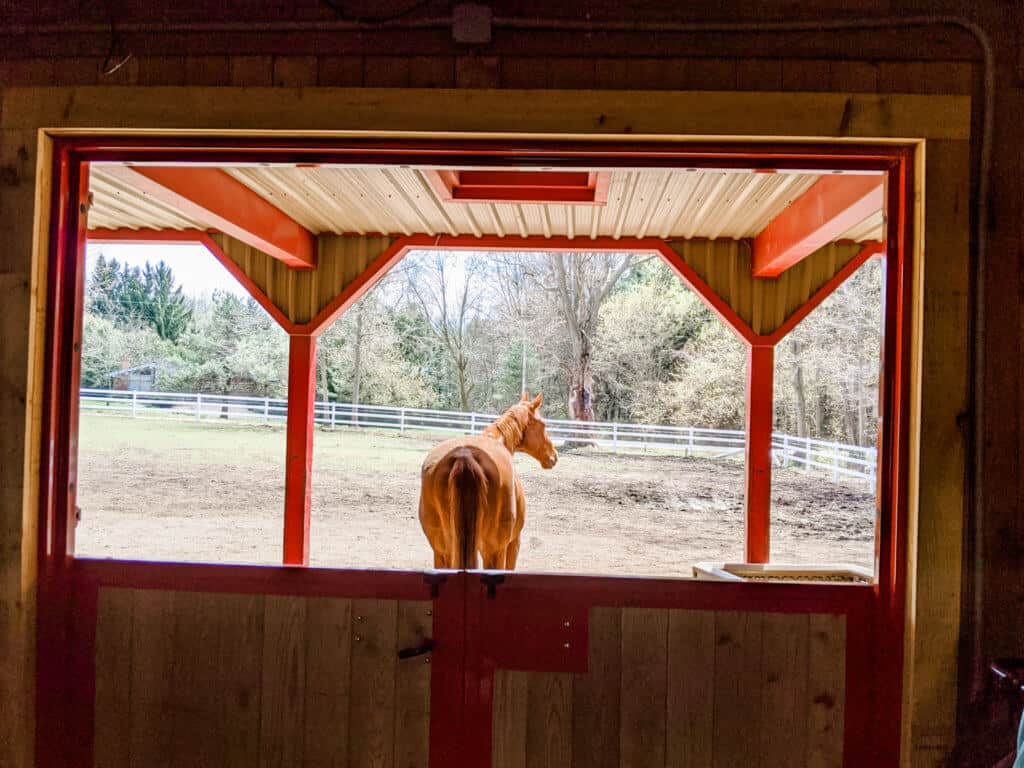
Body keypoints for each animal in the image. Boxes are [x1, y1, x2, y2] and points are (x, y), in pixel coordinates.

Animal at [417, 397, 561, 573]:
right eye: (544, 425)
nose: (554, 456)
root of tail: (465, 454)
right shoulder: (513, 543)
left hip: (443, 552)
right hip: (493, 552)